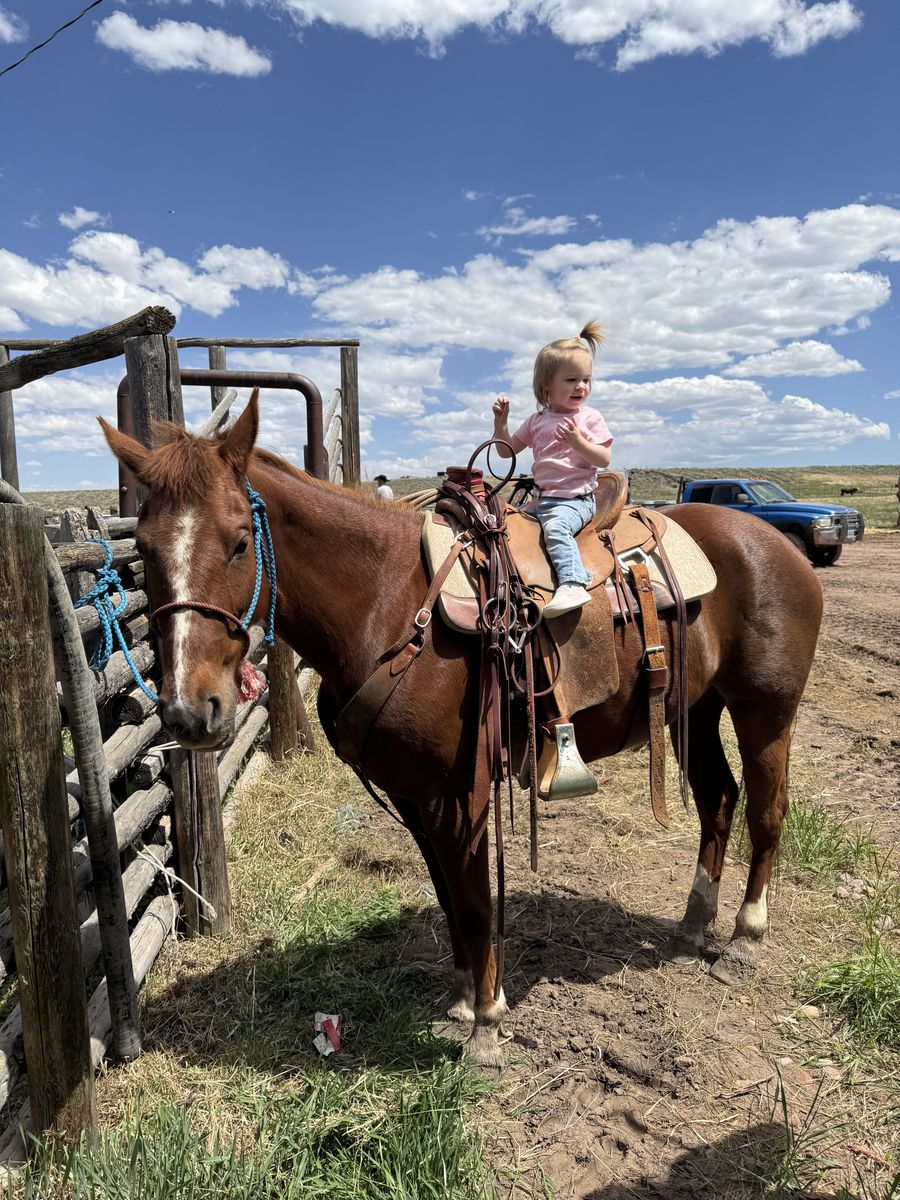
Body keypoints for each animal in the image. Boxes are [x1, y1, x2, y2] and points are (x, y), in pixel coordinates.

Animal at [101, 391, 823, 1066]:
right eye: (142, 551)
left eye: (239, 542)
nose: (191, 710)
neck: (387, 604)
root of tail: (778, 545)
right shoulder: (415, 795)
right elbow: (449, 898)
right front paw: (459, 1002)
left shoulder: (463, 794)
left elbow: (475, 904)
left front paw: (488, 1023)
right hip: (697, 708)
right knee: (719, 799)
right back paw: (695, 921)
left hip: (765, 712)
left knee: (766, 810)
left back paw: (744, 938)